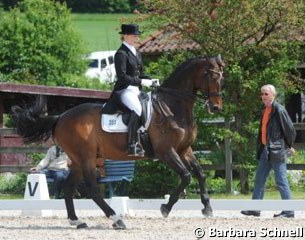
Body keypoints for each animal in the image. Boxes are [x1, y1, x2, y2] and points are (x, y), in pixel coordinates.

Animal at [11, 55, 223, 230]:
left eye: (222, 78)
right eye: (212, 77)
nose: (216, 108)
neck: (172, 107)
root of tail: (60, 117)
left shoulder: (184, 149)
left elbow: (200, 173)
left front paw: (207, 208)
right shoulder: (166, 151)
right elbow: (186, 176)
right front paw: (166, 207)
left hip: (78, 160)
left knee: (69, 187)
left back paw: (77, 221)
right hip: (86, 157)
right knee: (93, 189)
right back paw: (116, 219)